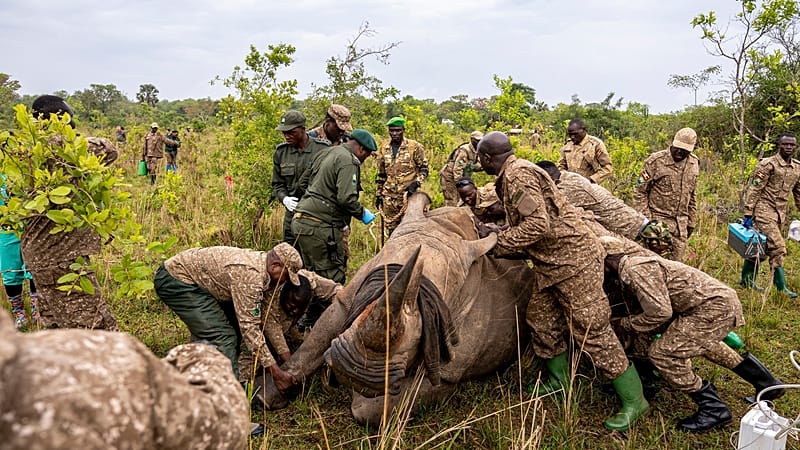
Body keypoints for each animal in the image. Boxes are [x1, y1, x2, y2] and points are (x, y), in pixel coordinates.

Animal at [266, 192, 535, 425]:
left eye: (416, 337)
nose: (354, 372)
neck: (445, 228)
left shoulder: (451, 366)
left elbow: (374, 408)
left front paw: (360, 396)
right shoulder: (350, 296)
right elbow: (317, 338)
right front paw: (271, 390)